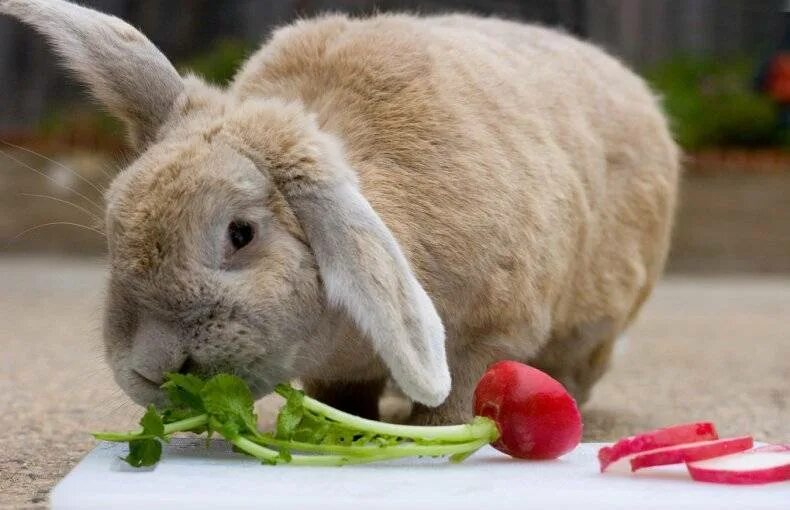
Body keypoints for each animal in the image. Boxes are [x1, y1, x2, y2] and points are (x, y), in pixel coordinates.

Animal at [1, 0, 680, 424]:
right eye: (112, 228)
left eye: (240, 234)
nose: (150, 370)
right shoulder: (335, 372)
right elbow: (343, 397)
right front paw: (347, 427)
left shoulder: (486, 335)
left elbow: (456, 389)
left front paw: (433, 428)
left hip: (596, 321)